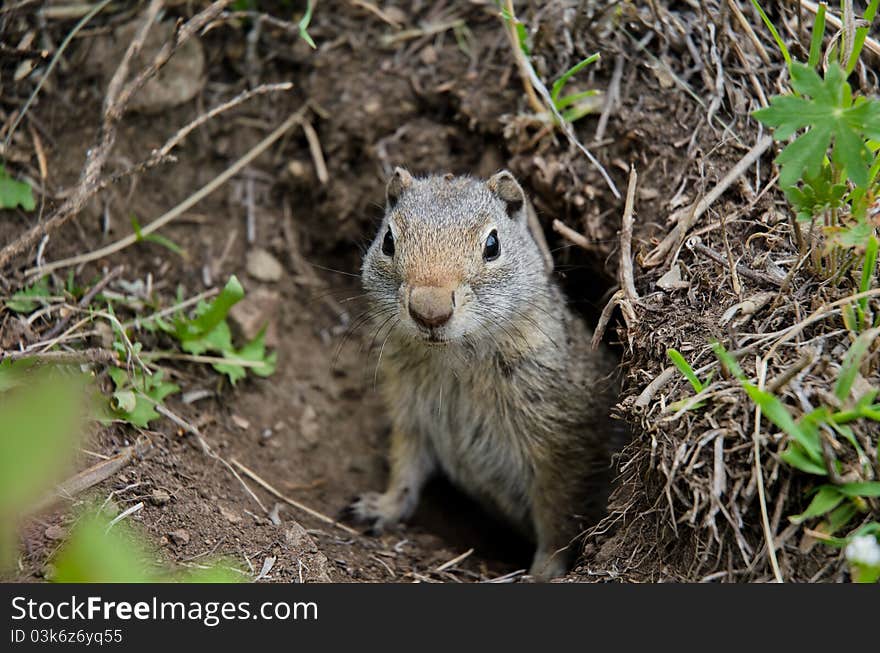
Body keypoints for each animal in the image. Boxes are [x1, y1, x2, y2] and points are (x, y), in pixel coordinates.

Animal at [342, 166, 620, 580]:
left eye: (492, 245)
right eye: (388, 241)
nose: (430, 311)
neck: (454, 360)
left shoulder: (562, 446)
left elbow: (558, 515)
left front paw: (544, 570)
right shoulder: (410, 414)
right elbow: (405, 468)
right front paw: (383, 506)